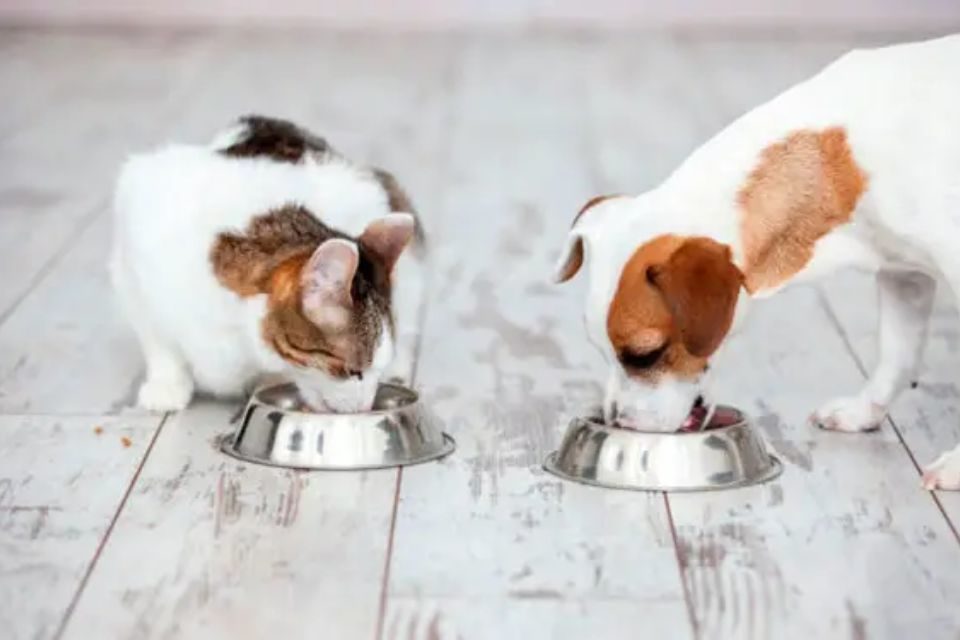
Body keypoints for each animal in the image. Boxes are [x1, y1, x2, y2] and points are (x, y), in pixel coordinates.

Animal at [109, 115, 424, 412]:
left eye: (374, 371)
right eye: (353, 371)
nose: (366, 407)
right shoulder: (133, 257)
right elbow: (159, 341)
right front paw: (167, 385)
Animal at [552, 33, 960, 490]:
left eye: (645, 355)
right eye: (600, 350)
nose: (620, 423)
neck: (840, 160)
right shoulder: (902, 275)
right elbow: (896, 353)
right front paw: (863, 411)